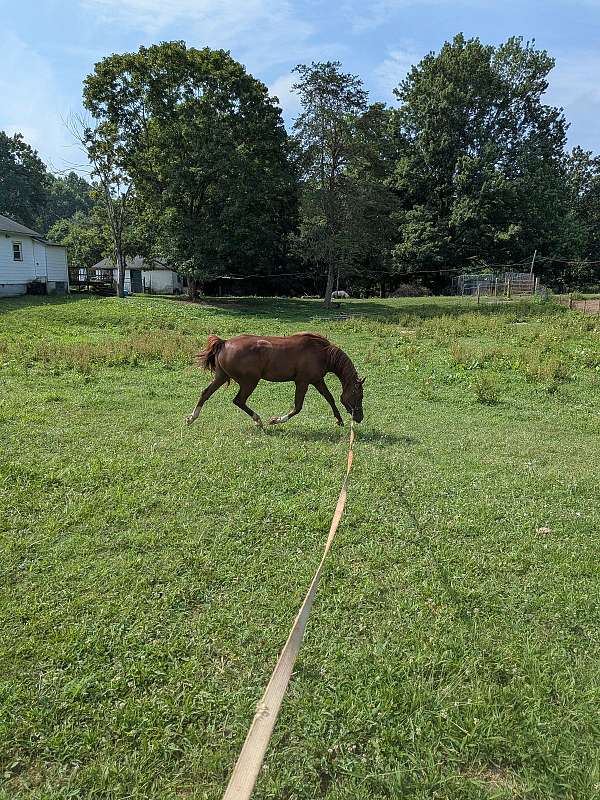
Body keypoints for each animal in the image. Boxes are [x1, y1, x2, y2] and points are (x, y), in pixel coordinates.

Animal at [186, 333, 364, 428]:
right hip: (249, 382)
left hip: (222, 377)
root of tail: (224, 343)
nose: (360, 417)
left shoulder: (317, 380)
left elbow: (330, 398)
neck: (322, 353)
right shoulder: (302, 382)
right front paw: (275, 420)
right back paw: (258, 421)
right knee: (238, 400)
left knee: (205, 393)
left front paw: (339, 420)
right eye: (359, 396)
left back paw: (191, 417)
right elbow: (297, 407)